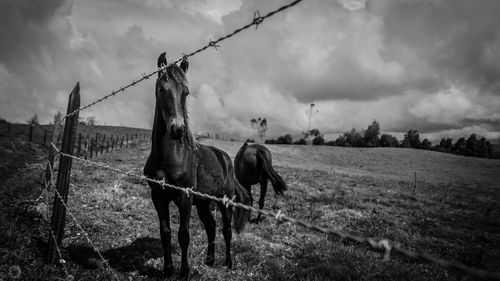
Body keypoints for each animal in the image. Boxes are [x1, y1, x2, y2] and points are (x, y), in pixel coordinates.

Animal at [146, 52, 252, 278]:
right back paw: (210, 261)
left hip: (224, 201)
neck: (169, 157)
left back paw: (228, 263)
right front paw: (167, 270)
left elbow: (183, 235)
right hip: (203, 203)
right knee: (211, 227)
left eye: (185, 92)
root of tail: (225, 158)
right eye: (162, 89)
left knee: (226, 231)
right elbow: (165, 233)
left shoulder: (185, 196)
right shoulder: (158, 196)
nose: (177, 129)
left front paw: (184, 272)